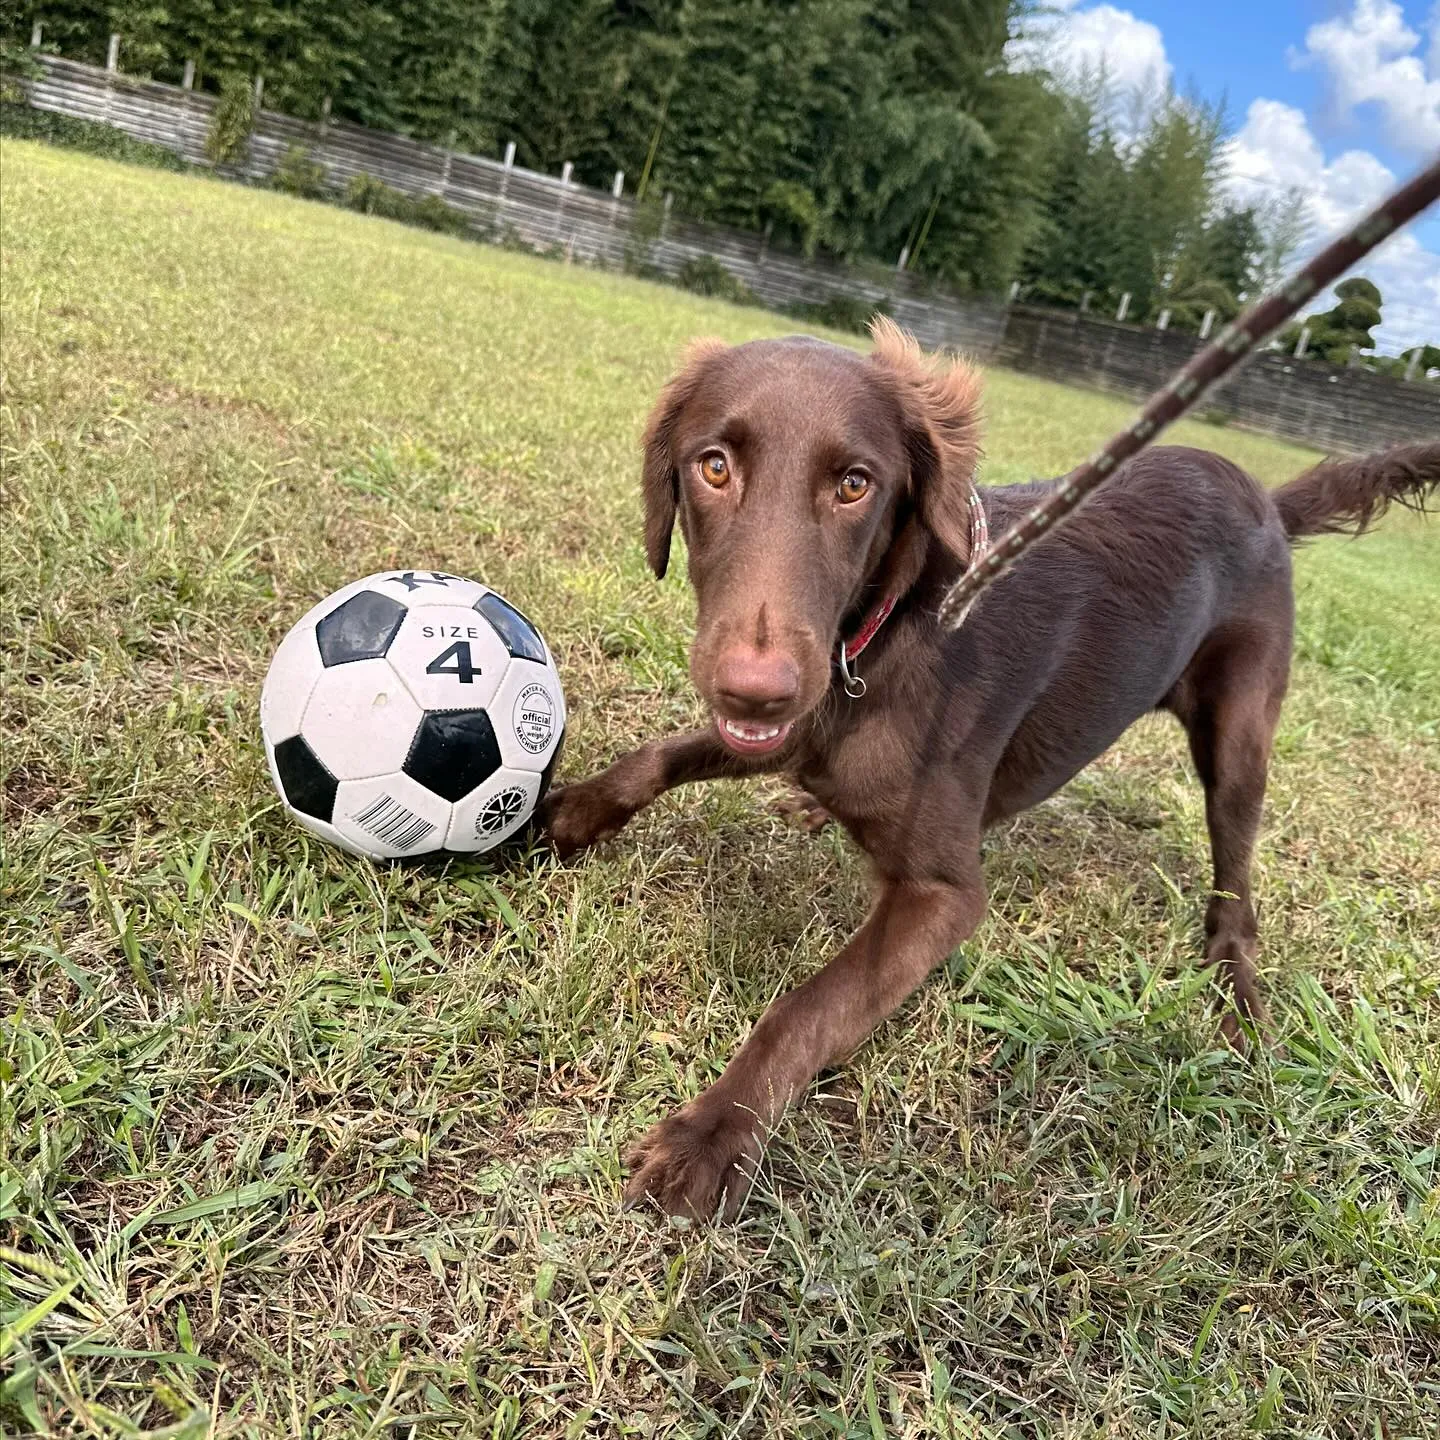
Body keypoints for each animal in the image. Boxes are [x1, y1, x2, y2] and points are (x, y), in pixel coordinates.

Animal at [541, 321, 1440, 1221]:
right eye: (714, 466)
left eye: (855, 485)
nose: (755, 690)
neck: (883, 629)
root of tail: (1267, 501)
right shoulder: (799, 716)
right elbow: (658, 754)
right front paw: (571, 810)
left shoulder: (943, 896)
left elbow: (809, 1006)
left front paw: (713, 1133)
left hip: (1240, 731)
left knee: (1236, 874)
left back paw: (1235, 986)